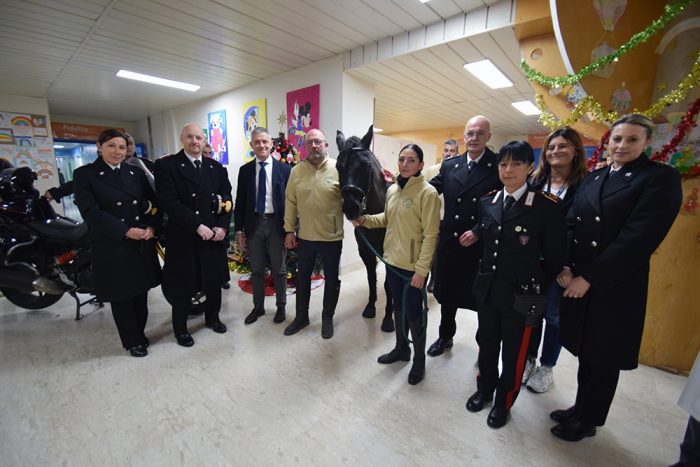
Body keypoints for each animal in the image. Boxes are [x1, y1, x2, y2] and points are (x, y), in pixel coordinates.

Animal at [334, 125, 394, 332]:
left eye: (366, 165)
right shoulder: (366, 251)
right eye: (338, 166)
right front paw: (370, 307)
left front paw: (388, 318)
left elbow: (388, 284)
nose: (351, 208)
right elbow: (371, 278)